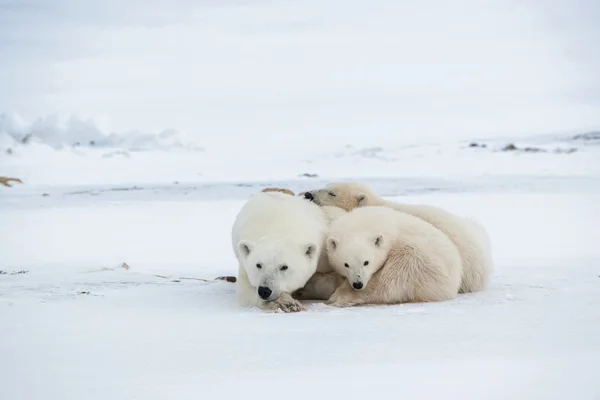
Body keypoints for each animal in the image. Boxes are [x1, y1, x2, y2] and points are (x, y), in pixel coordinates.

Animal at [326, 205, 462, 308]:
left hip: (423, 263)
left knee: (391, 278)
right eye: (346, 264)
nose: (357, 284)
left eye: (366, 262)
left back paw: (340, 297)